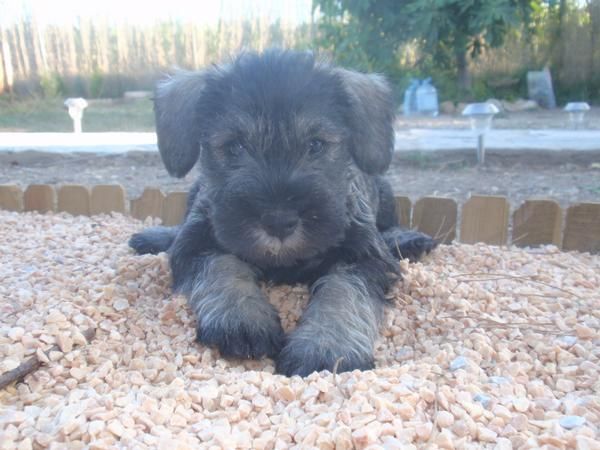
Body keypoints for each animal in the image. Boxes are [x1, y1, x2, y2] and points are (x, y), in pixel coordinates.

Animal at [129, 49, 436, 376]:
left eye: (316, 144)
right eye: (234, 146)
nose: (278, 221)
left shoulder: (365, 257)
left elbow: (343, 292)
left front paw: (326, 347)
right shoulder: (197, 243)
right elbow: (221, 266)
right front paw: (241, 319)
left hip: (385, 192)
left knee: (388, 227)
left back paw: (408, 239)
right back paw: (155, 236)